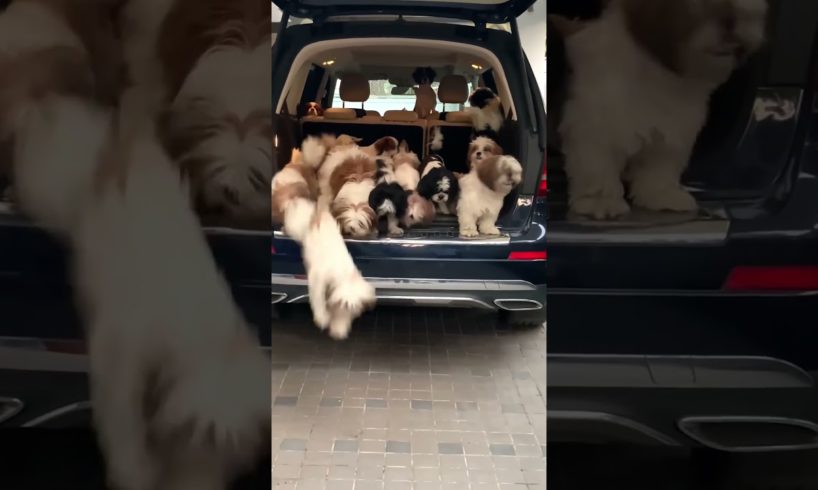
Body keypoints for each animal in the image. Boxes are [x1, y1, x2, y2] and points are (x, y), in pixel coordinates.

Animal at [556, 0, 768, 219]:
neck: (659, 73)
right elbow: (596, 165)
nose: (732, 19)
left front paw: (662, 194)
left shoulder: (671, 131)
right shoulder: (594, 125)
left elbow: (659, 167)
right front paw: (600, 201)